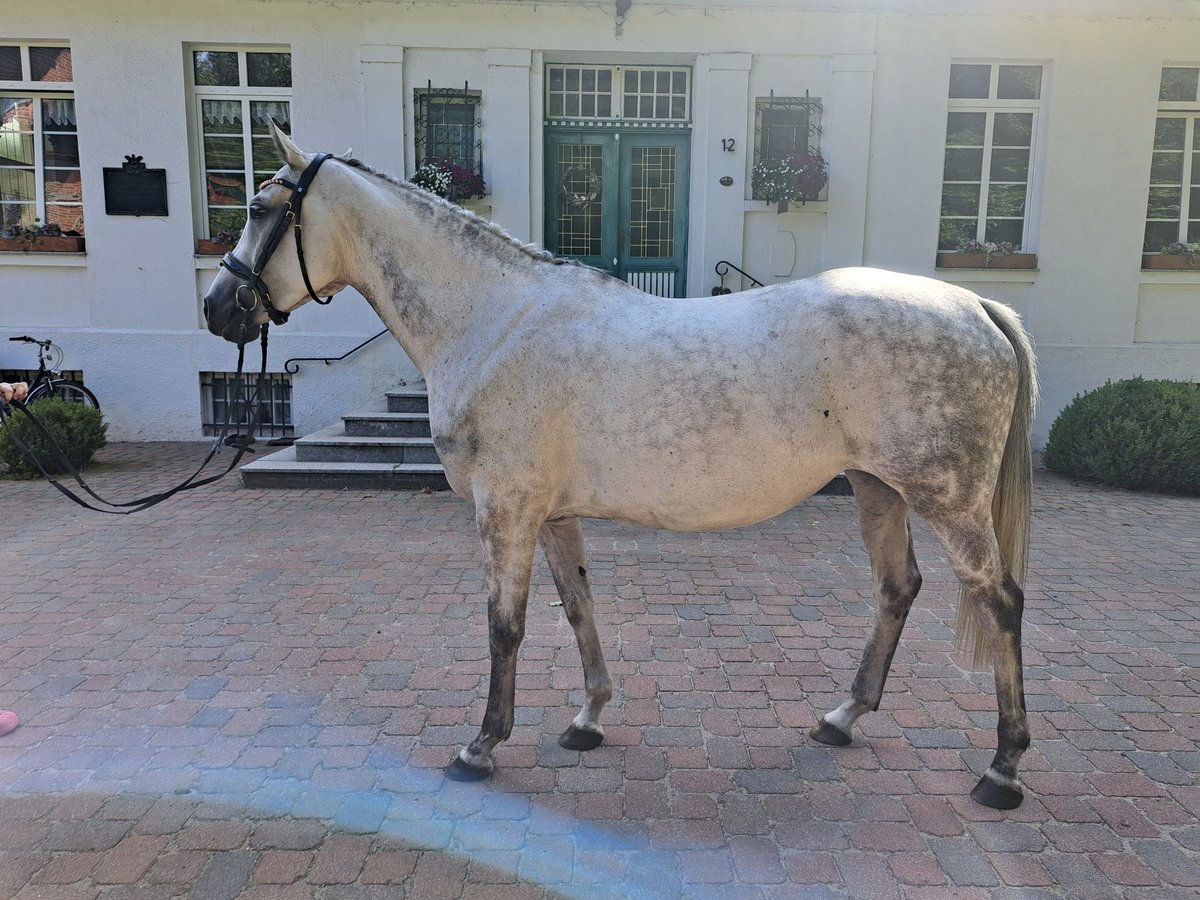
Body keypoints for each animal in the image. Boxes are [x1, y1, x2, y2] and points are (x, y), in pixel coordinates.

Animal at [201, 125, 1036, 811]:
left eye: (258, 206)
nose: (218, 307)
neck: (495, 321)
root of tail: (977, 306)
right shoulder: (552, 513)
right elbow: (577, 608)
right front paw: (588, 718)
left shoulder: (504, 509)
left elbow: (505, 625)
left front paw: (481, 746)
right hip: (878, 488)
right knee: (898, 589)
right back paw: (842, 718)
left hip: (948, 498)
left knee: (1000, 601)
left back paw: (1002, 769)